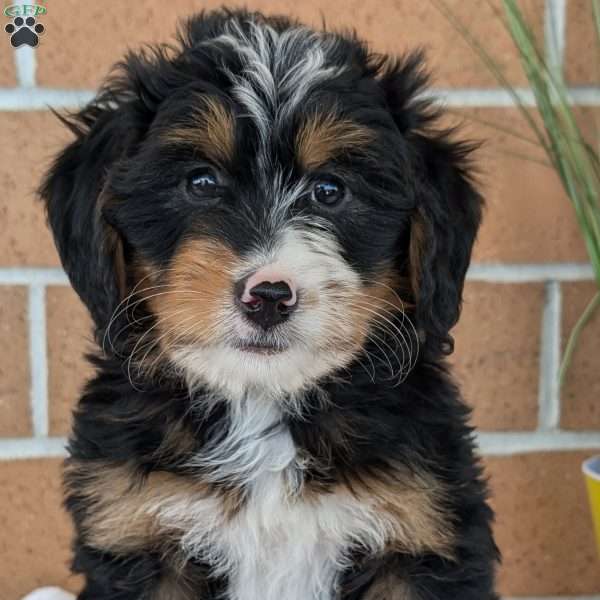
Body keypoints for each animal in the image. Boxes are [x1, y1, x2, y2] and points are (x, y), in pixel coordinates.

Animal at [42, 8, 500, 600]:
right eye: (201, 182)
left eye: (330, 191)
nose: (267, 298)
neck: (262, 402)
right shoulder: (135, 527)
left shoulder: (419, 530)